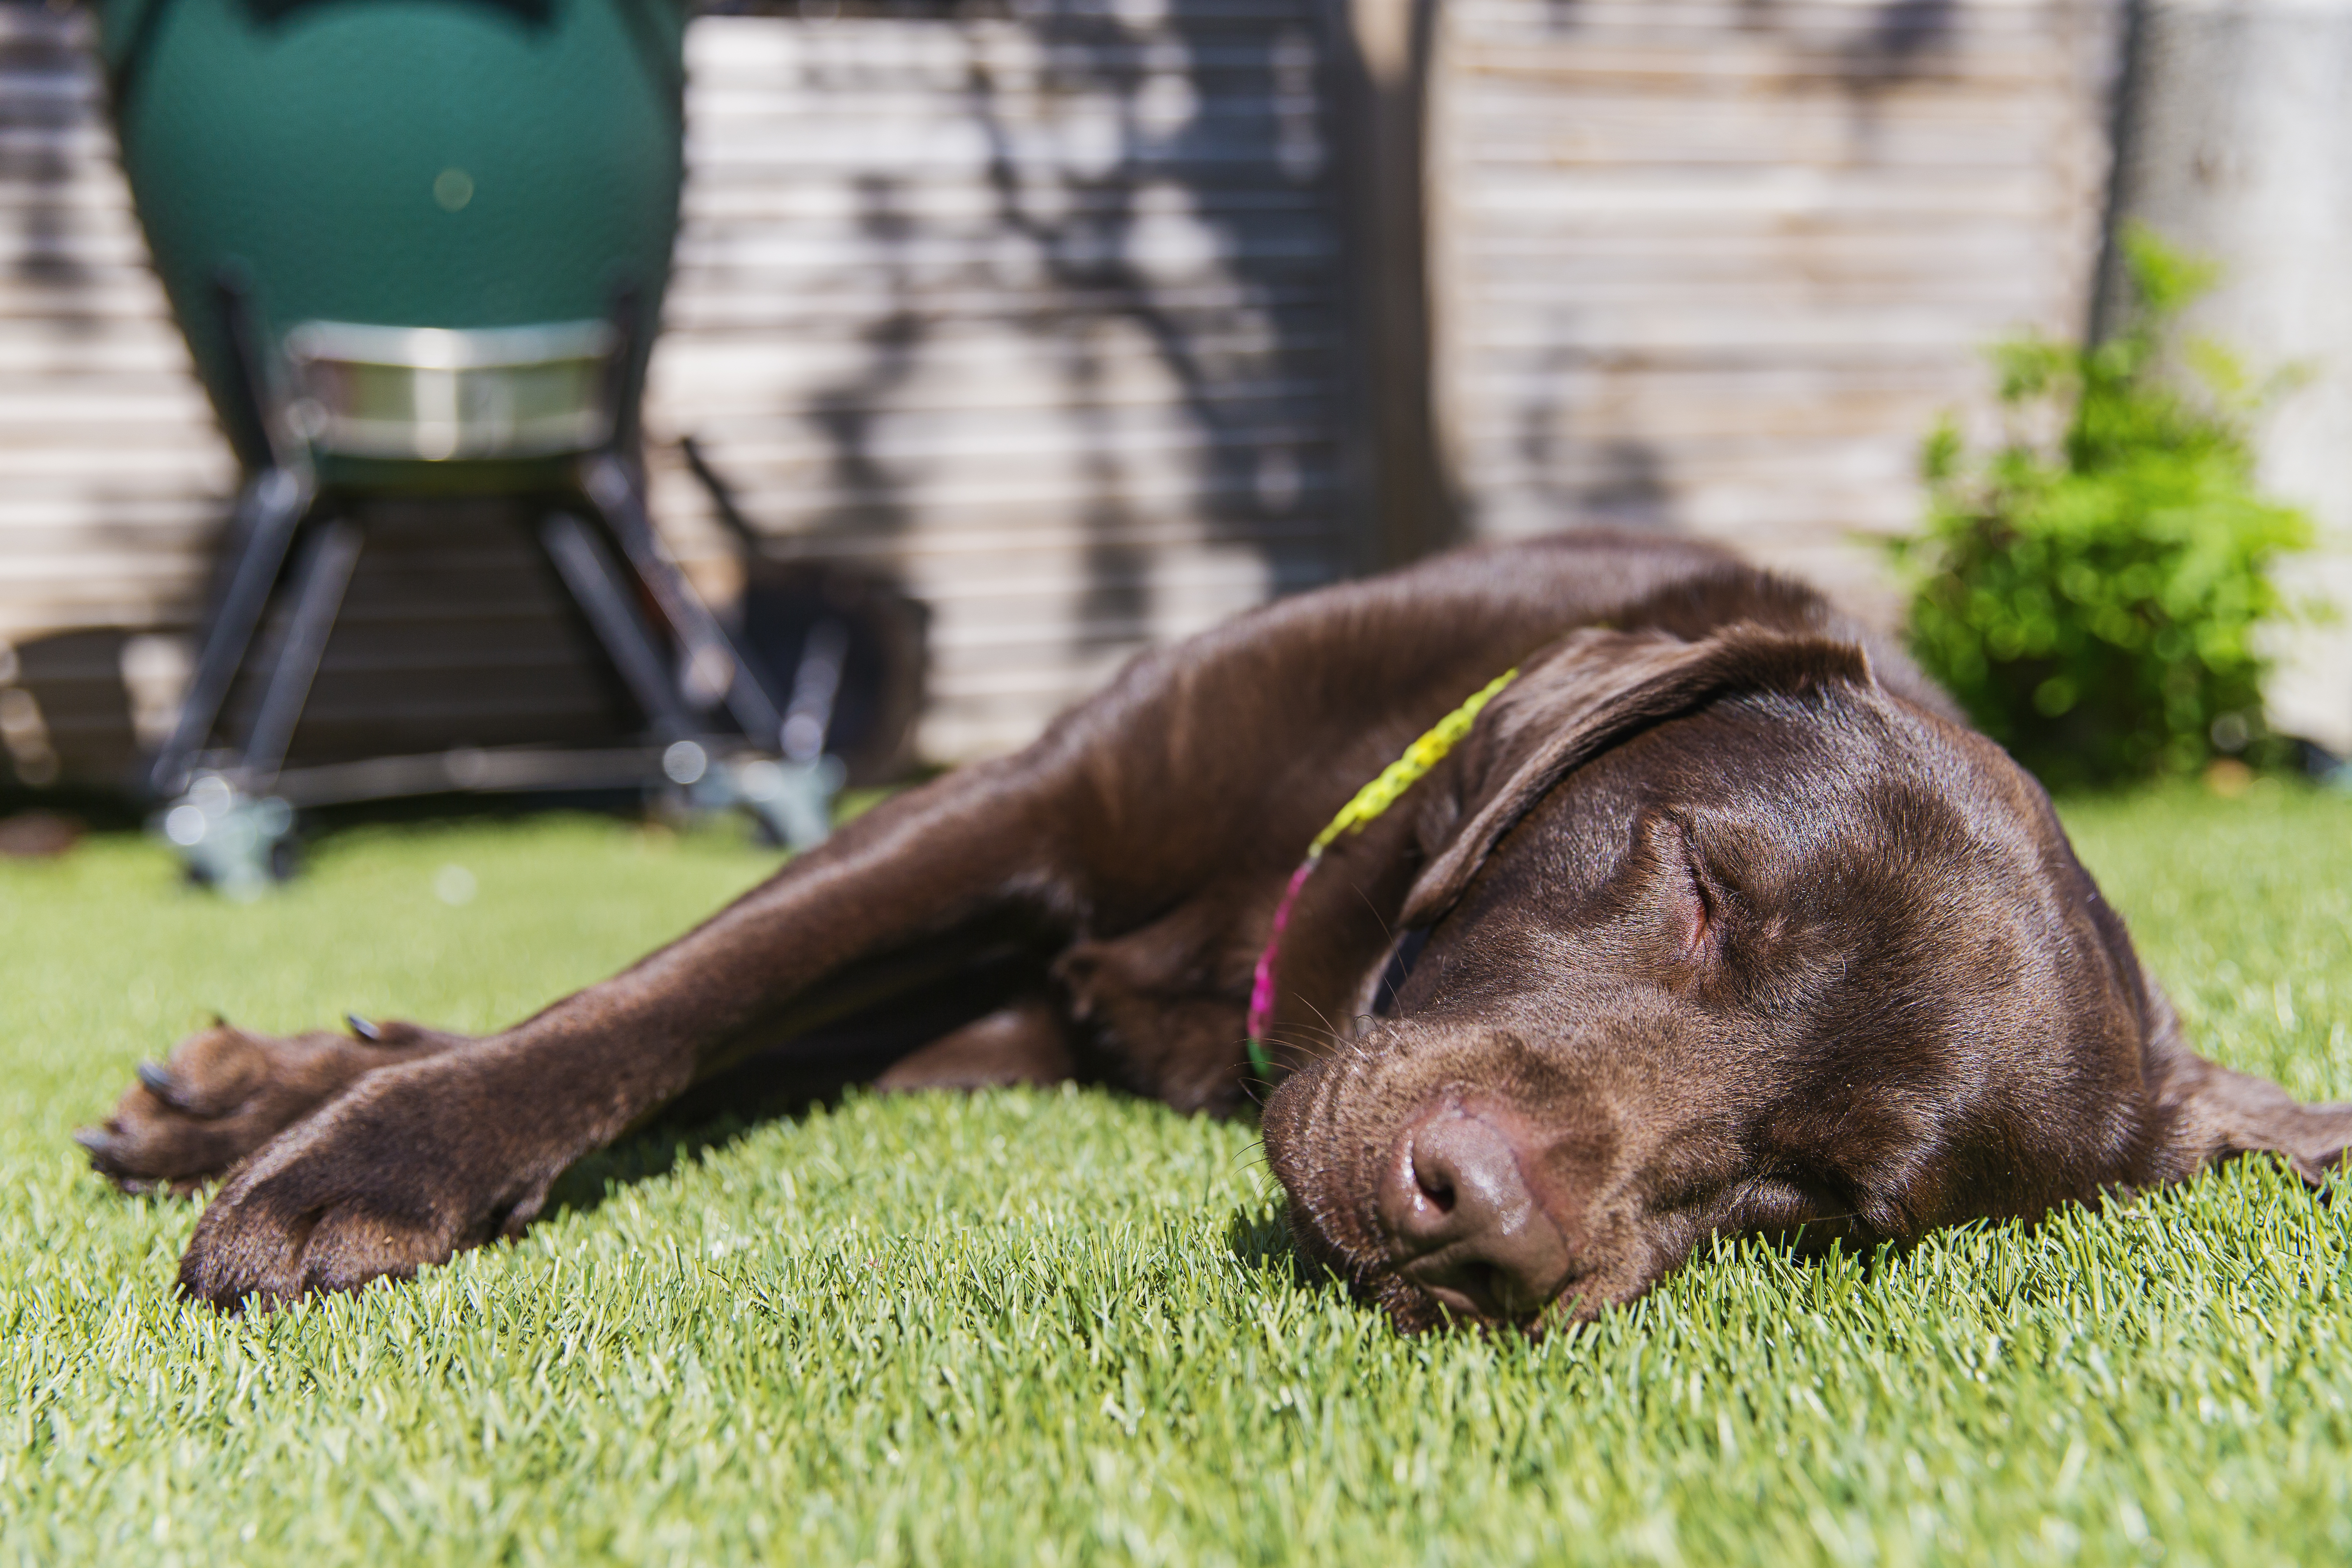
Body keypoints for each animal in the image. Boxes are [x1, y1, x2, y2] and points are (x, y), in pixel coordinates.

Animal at [74, 536, 2352, 1326]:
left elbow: (728, 1033)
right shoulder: (1012, 807)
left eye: (1823, 1197)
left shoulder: (996, 1019)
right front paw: (367, 1152)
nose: (1484, 1224)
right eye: (1704, 884)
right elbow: (670, 995)